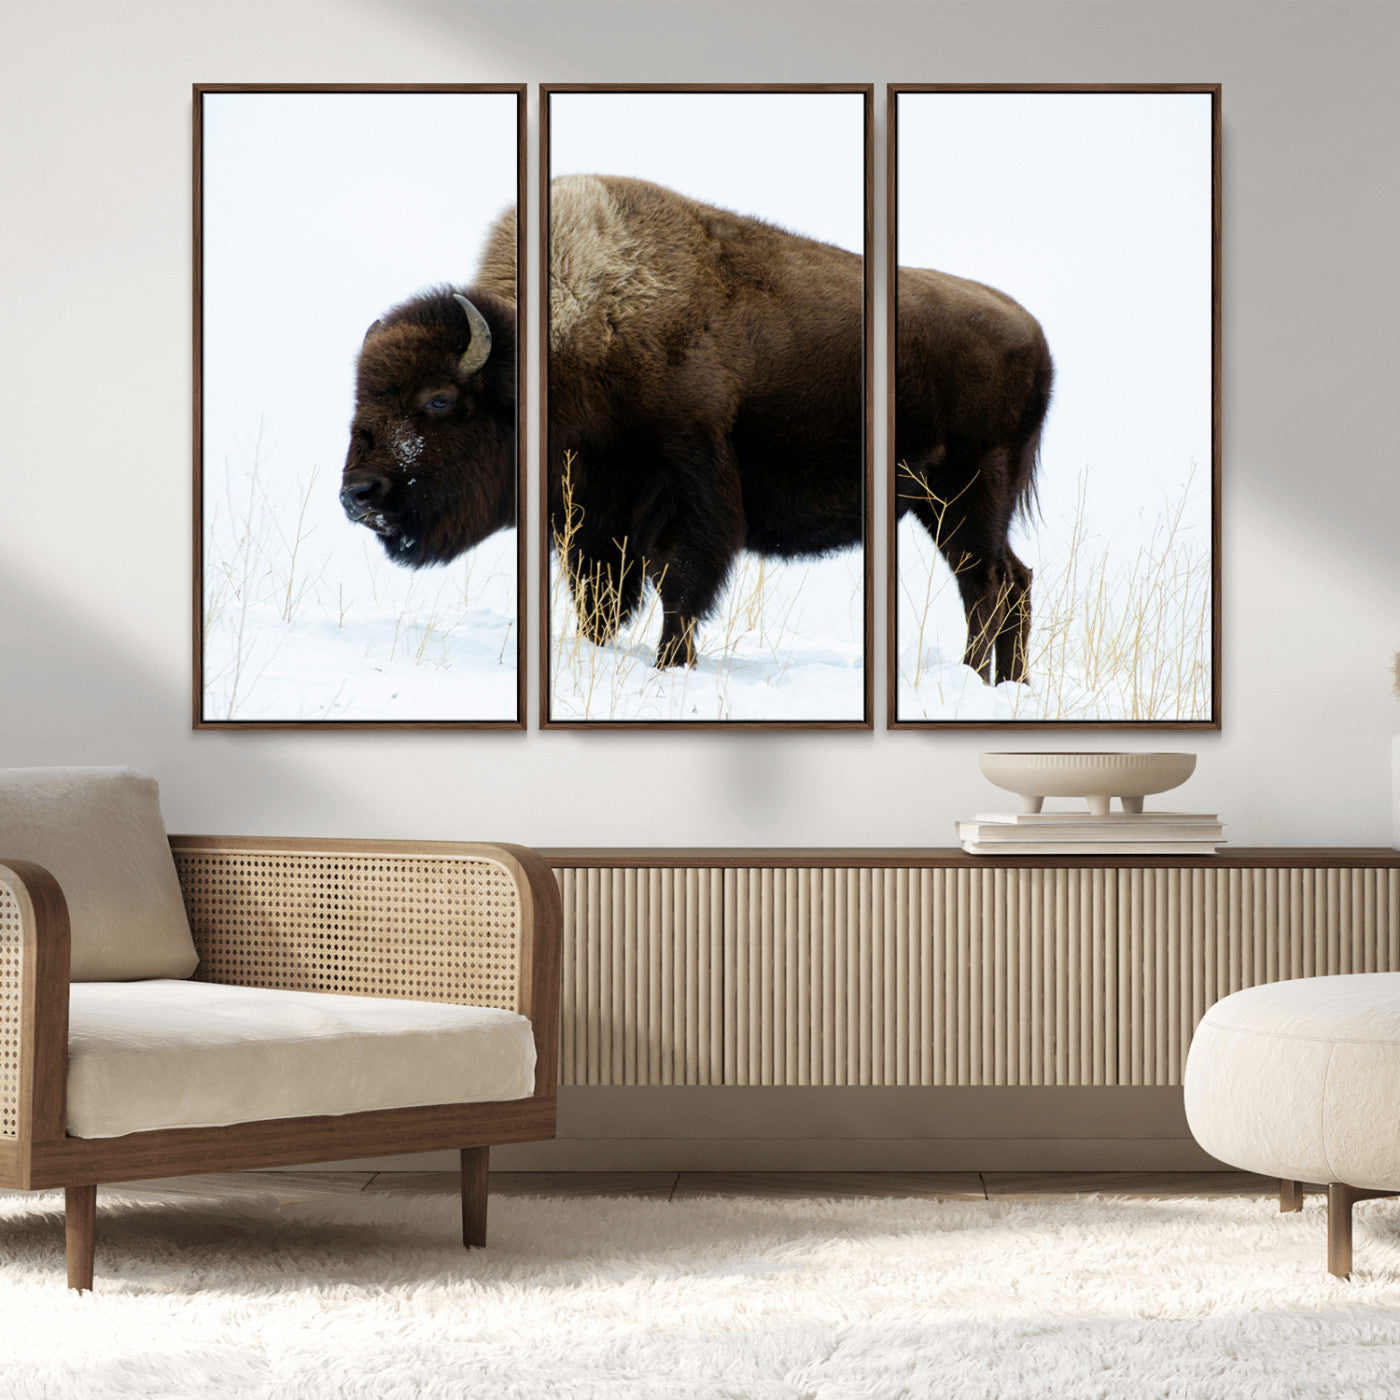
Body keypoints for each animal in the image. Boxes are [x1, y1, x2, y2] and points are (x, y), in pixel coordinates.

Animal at [341, 174, 1052, 681]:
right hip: (943, 506)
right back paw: (1001, 684)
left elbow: (681, 586)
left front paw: (670, 667)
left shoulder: (689, 491)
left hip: (967, 495)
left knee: (988, 584)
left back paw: (975, 681)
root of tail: (1034, 333)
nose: (357, 495)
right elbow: (601, 599)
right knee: (1006, 581)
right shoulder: (593, 519)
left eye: (438, 400)